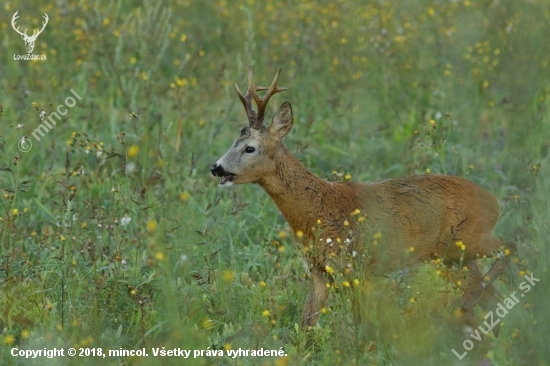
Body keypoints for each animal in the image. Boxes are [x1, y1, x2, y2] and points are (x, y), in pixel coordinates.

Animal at [210, 67, 516, 334]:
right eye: (234, 143)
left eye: (250, 148)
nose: (216, 168)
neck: (317, 209)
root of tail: (495, 203)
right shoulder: (319, 270)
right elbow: (307, 323)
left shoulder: (355, 265)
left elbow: (360, 321)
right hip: (453, 258)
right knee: (493, 293)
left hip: (468, 239)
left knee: (510, 247)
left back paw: (464, 309)